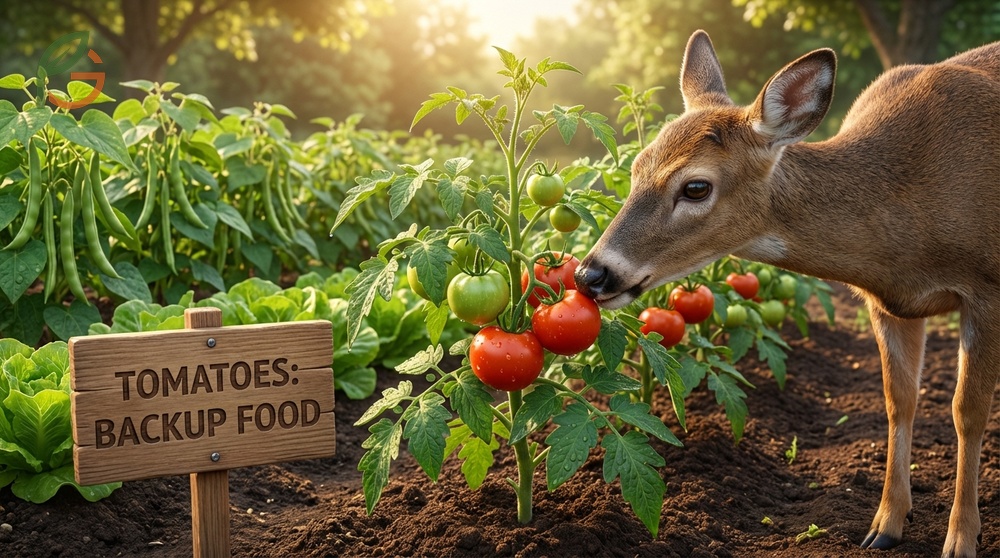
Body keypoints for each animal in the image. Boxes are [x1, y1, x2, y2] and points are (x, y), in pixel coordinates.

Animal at [574, 30, 999, 557]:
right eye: (634, 168)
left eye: (695, 187)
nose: (590, 275)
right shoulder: (888, 303)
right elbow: (898, 400)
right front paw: (885, 524)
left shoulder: (987, 289)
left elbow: (967, 411)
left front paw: (961, 537)